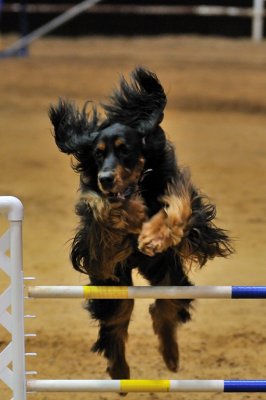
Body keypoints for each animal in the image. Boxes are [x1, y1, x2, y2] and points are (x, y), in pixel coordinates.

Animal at [49, 68, 233, 382]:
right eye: (97, 153)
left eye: (125, 150)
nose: (105, 178)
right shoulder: (98, 241)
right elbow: (105, 214)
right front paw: (130, 214)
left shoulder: (179, 192)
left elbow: (178, 211)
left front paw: (153, 236)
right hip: (114, 286)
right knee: (119, 317)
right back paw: (120, 370)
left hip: (170, 277)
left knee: (164, 309)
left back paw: (171, 356)